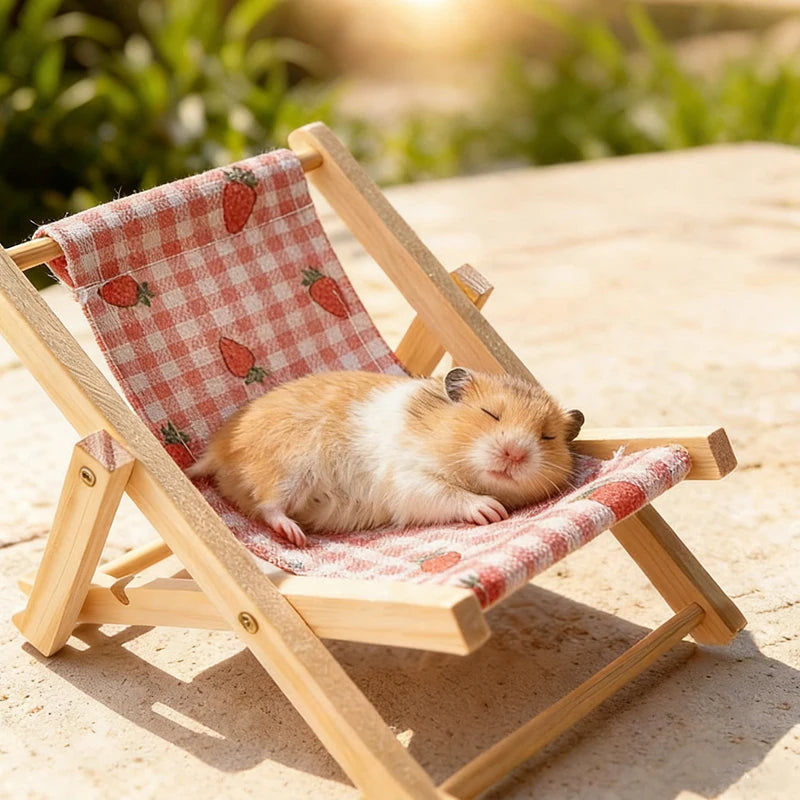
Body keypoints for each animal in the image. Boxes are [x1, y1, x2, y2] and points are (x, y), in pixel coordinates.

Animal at [187, 368, 584, 547]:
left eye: (547, 436)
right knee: (270, 507)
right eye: (490, 414)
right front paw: (492, 510)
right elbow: (450, 494)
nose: (514, 453)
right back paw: (297, 537)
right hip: (287, 470)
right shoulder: (410, 480)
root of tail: (218, 451)